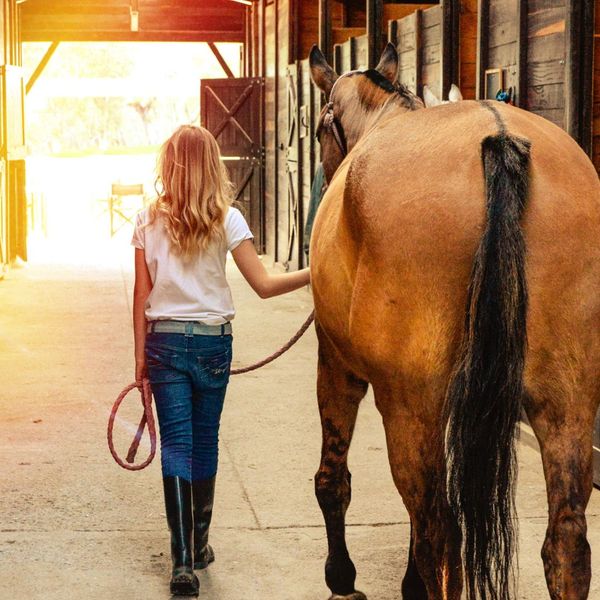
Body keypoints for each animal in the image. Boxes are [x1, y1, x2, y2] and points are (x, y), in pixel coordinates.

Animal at [310, 43, 600, 600]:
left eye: (318, 129)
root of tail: (499, 139)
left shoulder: (336, 365)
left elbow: (333, 480)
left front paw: (341, 576)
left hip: (410, 407)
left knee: (439, 535)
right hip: (568, 404)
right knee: (566, 543)